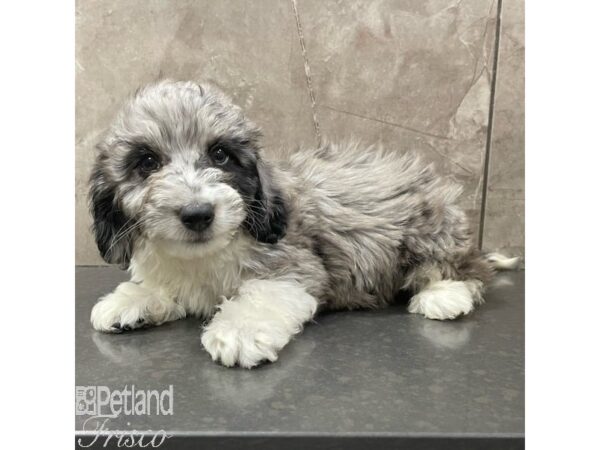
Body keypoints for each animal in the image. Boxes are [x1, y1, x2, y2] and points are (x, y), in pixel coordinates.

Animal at [88, 80, 516, 370]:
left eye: (220, 154)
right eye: (147, 162)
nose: (197, 213)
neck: (204, 256)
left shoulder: (294, 263)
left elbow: (264, 294)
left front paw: (240, 330)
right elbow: (162, 287)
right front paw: (130, 301)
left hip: (432, 230)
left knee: (466, 270)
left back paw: (444, 295)